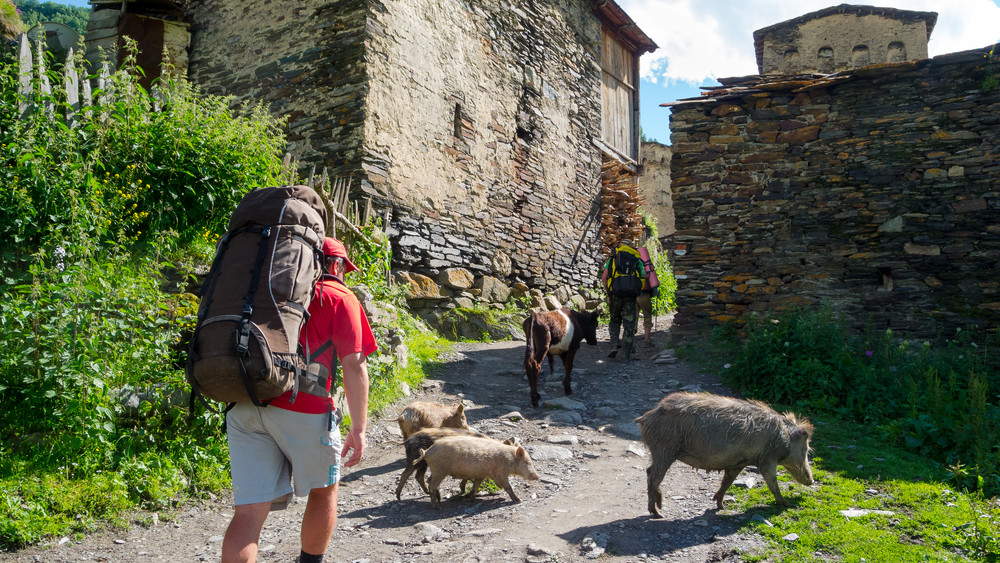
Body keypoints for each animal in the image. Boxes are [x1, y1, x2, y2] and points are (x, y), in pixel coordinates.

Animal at [636, 392, 816, 516]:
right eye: (805, 449)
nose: (812, 480)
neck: (784, 437)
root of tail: (646, 417)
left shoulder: (738, 463)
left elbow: (727, 482)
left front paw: (721, 507)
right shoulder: (767, 459)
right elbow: (773, 483)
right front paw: (788, 505)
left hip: (662, 451)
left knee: (649, 471)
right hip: (665, 449)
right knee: (653, 477)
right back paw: (658, 514)